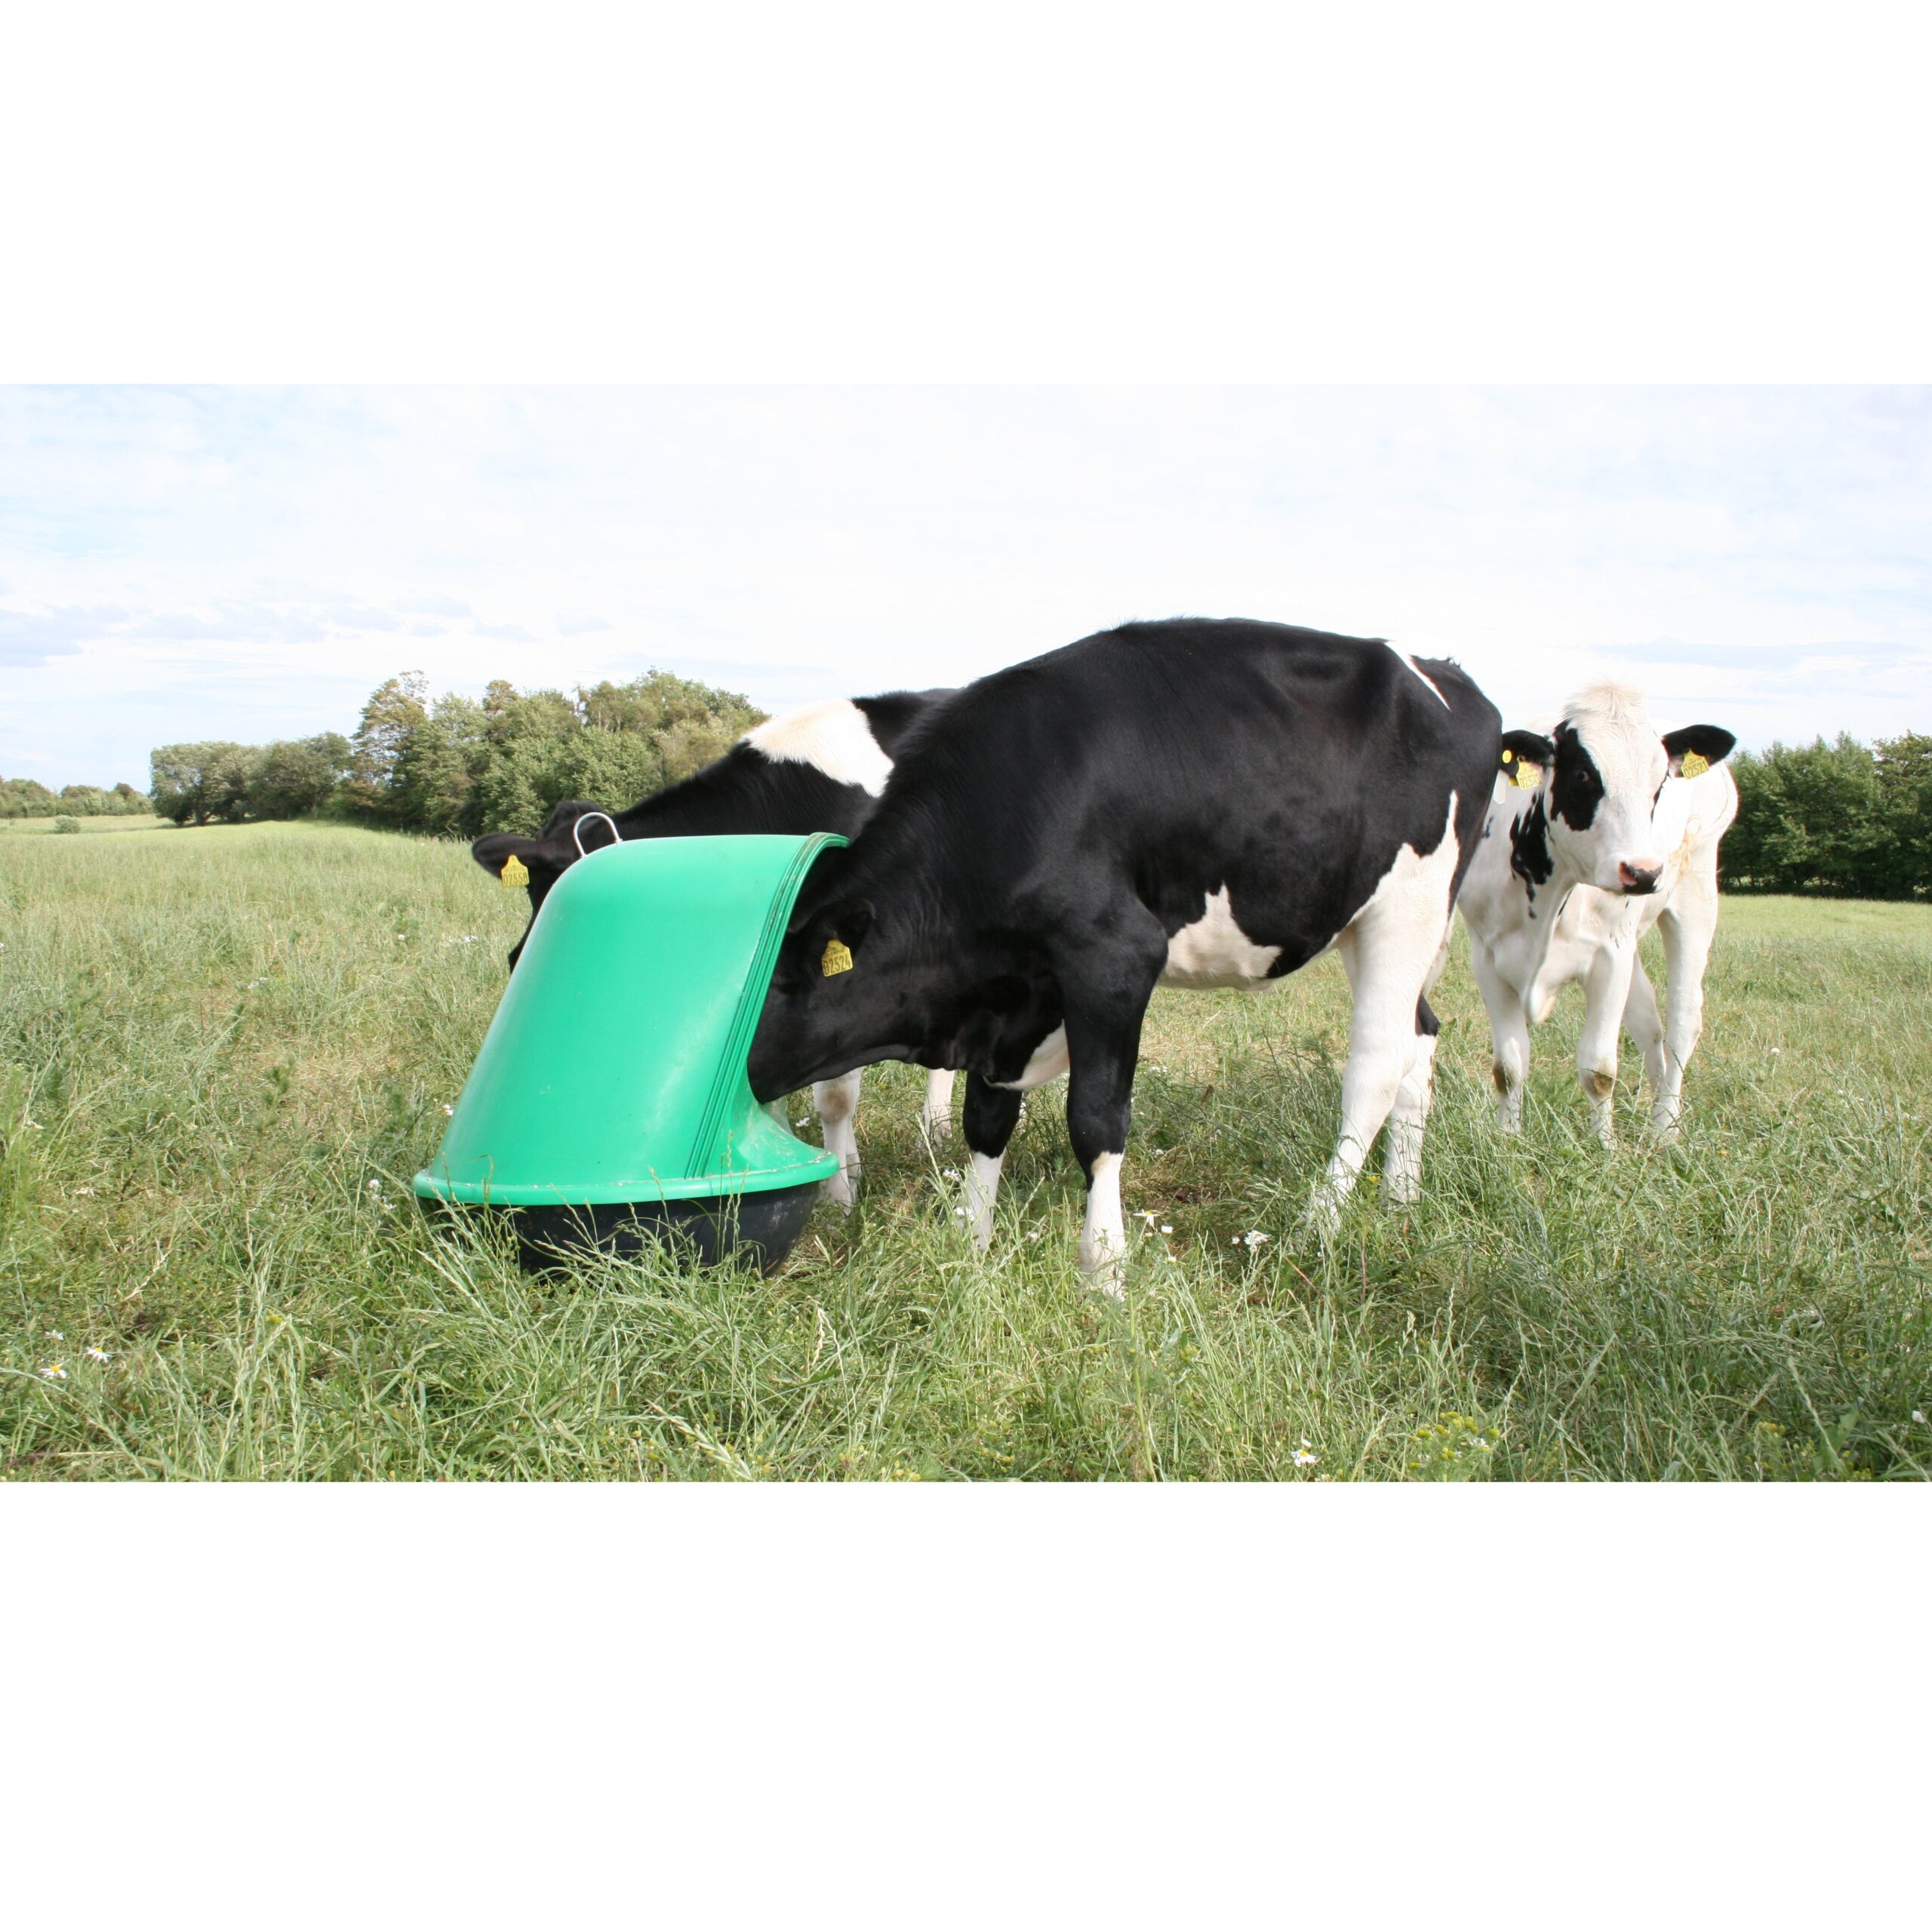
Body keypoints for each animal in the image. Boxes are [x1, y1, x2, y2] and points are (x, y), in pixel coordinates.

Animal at [745, 618, 1502, 1286]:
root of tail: (1444, 673)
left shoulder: (1114, 957)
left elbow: (1096, 1121)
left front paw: (1104, 1269)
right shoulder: (1014, 1001)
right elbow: (986, 1117)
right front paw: (972, 1240)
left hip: (1409, 907)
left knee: (1375, 1068)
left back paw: (1318, 1228)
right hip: (1364, 921)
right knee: (1420, 1042)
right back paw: (1399, 1199)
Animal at [1454, 682, 1738, 1145]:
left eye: (1660, 781)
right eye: (1583, 775)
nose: (1643, 872)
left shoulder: (1610, 954)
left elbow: (1599, 1068)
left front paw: (1603, 1146)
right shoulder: (1487, 956)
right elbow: (1509, 1066)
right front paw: (1509, 1139)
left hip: (1695, 898)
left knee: (1682, 1020)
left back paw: (1665, 1128)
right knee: (1648, 1021)